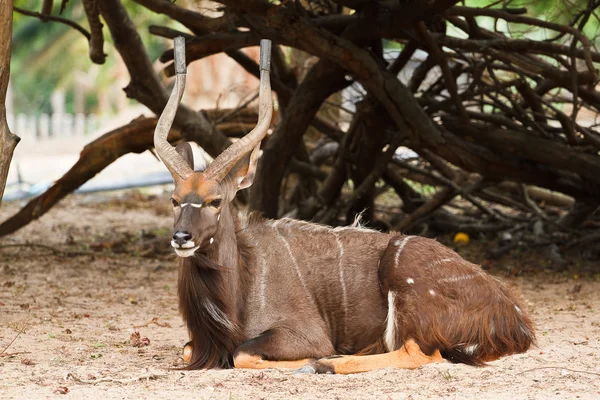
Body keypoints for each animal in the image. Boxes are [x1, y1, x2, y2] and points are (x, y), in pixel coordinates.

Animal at [154, 37, 536, 376]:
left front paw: (315, 360)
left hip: (406, 285)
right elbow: (191, 349)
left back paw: (326, 364)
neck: (240, 288)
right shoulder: (198, 343)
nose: (181, 237)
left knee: (420, 352)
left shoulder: (304, 333)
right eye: (174, 199)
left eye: (215, 201)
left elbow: (242, 353)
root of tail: (513, 315)